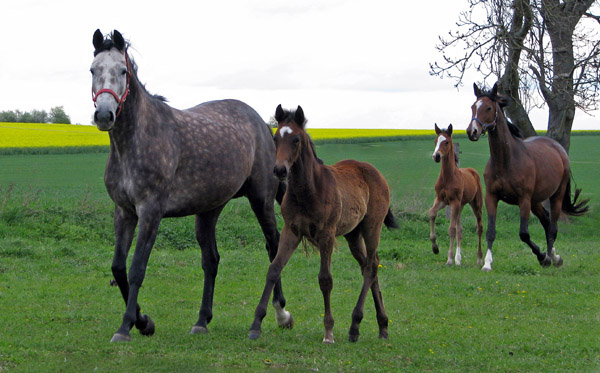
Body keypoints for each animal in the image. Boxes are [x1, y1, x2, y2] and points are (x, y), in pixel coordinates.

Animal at [89, 30, 292, 342]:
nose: (103, 115)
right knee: (211, 260)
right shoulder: (123, 212)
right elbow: (118, 268)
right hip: (209, 211)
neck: (136, 140)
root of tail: (260, 123)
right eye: (93, 70)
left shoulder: (150, 212)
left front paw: (126, 327)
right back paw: (202, 321)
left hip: (261, 199)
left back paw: (281, 314)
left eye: (122, 71)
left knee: (273, 248)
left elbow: (136, 269)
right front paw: (144, 322)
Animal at [246, 104, 396, 342]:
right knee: (368, 266)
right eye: (276, 139)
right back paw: (382, 326)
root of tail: (376, 172)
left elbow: (325, 279)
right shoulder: (291, 231)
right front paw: (256, 324)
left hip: (372, 227)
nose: (279, 170)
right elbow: (274, 269)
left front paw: (328, 332)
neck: (308, 190)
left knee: (371, 267)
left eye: (296, 139)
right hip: (353, 234)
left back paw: (355, 326)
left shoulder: (326, 235)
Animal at [428, 123, 486, 266]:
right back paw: (458, 259)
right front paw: (435, 248)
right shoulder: (441, 200)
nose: (436, 156)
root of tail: (472, 171)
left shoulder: (454, 202)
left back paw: (479, 259)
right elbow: (432, 213)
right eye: (435, 141)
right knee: (460, 230)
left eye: (446, 142)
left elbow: (451, 229)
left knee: (479, 227)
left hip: (475, 204)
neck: (447, 177)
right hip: (461, 205)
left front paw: (449, 259)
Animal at [466, 83, 588, 270]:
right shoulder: (492, 198)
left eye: (488, 108)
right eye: (473, 106)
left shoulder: (523, 199)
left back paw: (551, 258)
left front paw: (542, 257)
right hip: (535, 201)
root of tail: (559, 149)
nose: (472, 131)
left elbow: (524, 234)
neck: (505, 160)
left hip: (555, 196)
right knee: (546, 222)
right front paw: (487, 263)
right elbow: (490, 231)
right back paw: (554, 256)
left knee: (553, 227)